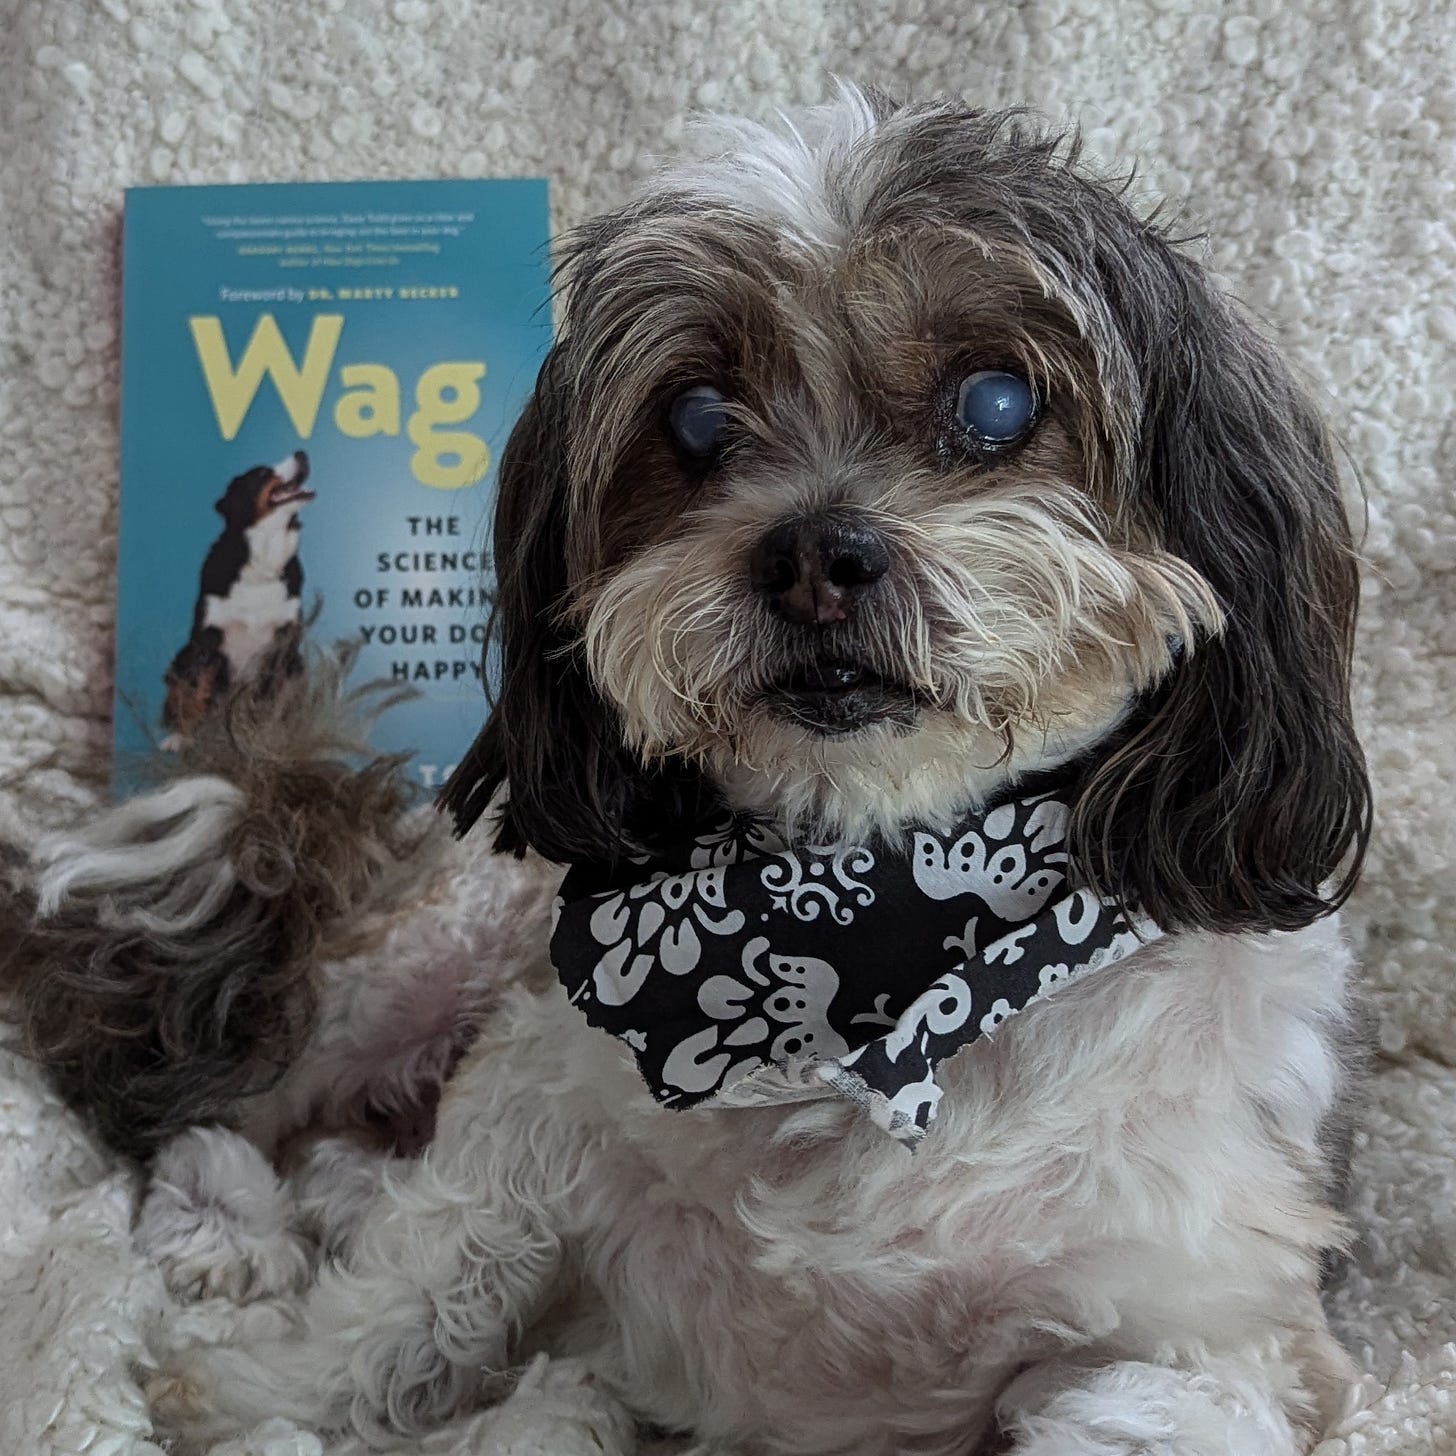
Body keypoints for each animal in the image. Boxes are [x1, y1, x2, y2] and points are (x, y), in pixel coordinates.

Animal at [163, 445, 314, 739]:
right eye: (262, 473)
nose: (302, 453)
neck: (262, 558)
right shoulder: (207, 638)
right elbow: (196, 692)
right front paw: (184, 739)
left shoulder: (284, 641)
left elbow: (271, 699)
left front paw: (265, 737)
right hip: (182, 655)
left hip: (298, 665)